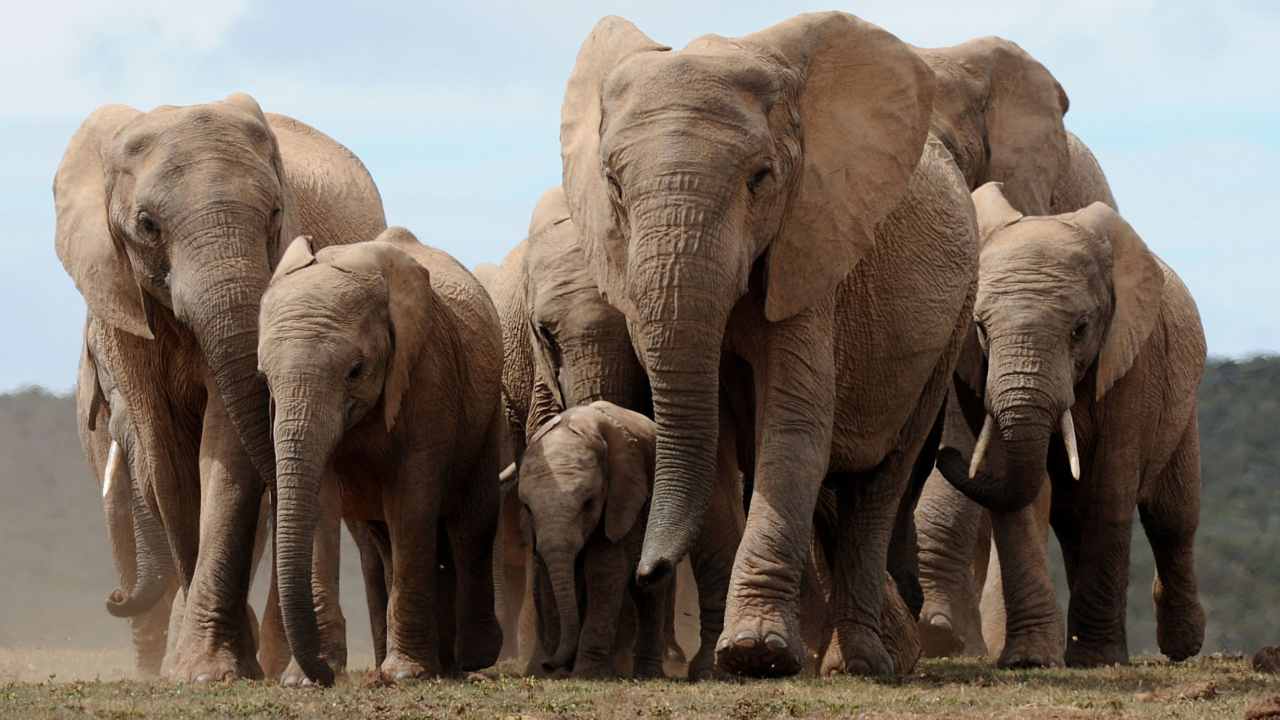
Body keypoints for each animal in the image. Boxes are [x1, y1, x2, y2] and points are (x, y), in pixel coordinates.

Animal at [54, 93, 386, 681]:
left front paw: (210, 669)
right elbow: (166, 458)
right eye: (146, 225)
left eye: (275, 214)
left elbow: (225, 449)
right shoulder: (120, 305)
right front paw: (209, 666)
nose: (113, 598)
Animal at [257, 227, 505, 685]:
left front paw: (405, 675)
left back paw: (470, 660)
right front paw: (302, 680)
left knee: (472, 522)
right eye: (264, 377)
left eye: (355, 370)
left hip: (486, 417)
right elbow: (321, 504)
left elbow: (411, 501)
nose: (329, 676)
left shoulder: (428, 373)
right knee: (386, 540)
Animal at [515, 401, 669, 679]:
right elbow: (548, 573)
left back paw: (647, 675)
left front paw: (587, 673)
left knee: (648, 591)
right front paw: (559, 673)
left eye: (589, 503)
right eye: (527, 508)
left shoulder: (622, 496)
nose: (547, 664)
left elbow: (604, 571)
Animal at [559, 12, 977, 676]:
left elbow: (795, 423)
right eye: (614, 187)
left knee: (881, 481)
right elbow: (717, 444)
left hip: (953, 320)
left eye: (760, 179)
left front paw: (757, 654)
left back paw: (863, 663)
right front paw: (725, 666)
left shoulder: (811, 246)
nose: (649, 572)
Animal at [937, 182, 1206, 668]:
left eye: (1080, 329)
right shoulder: (974, 369)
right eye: (980, 327)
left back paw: (1182, 647)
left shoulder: (1133, 363)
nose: (946, 452)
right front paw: (1028, 659)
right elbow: (1018, 491)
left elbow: (1110, 488)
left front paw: (1098, 659)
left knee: (1172, 518)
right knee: (1071, 519)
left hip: (1182, 400)